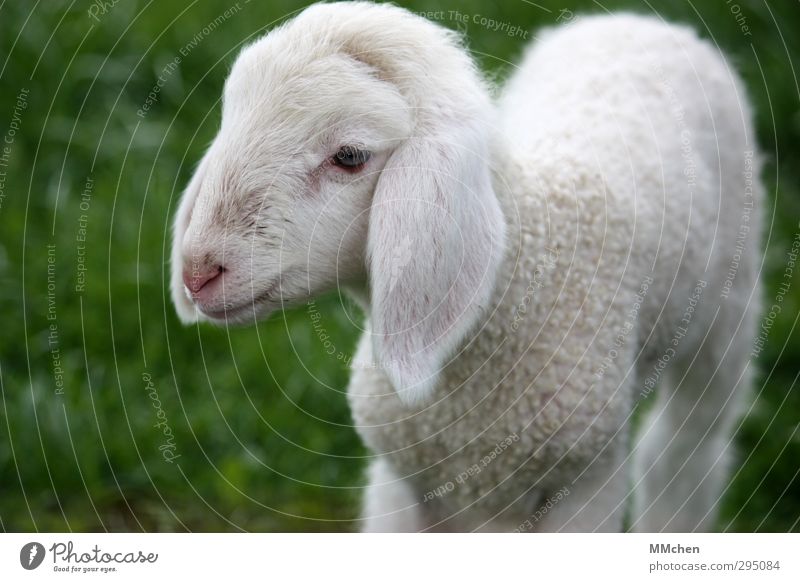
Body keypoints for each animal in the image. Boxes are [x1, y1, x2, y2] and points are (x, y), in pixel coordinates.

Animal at [169, 1, 764, 532]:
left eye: (350, 156)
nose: (198, 273)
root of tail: (638, 22)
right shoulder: (403, 485)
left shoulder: (586, 482)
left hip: (728, 307)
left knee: (686, 447)